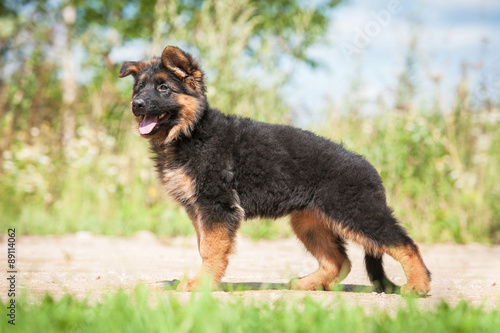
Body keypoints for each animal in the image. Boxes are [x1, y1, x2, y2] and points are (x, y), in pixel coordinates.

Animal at [119, 44, 432, 294]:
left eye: (164, 88)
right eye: (139, 89)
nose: (137, 104)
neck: (190, 132)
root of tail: (368, 167)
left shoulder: (216, 206)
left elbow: (210, 249)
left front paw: (201, 284)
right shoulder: (199, 209)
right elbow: (204, 245)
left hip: (357, 213)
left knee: (405, 244)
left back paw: (418, 286)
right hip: (309, 222)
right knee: (340, 261)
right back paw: (307, 284)